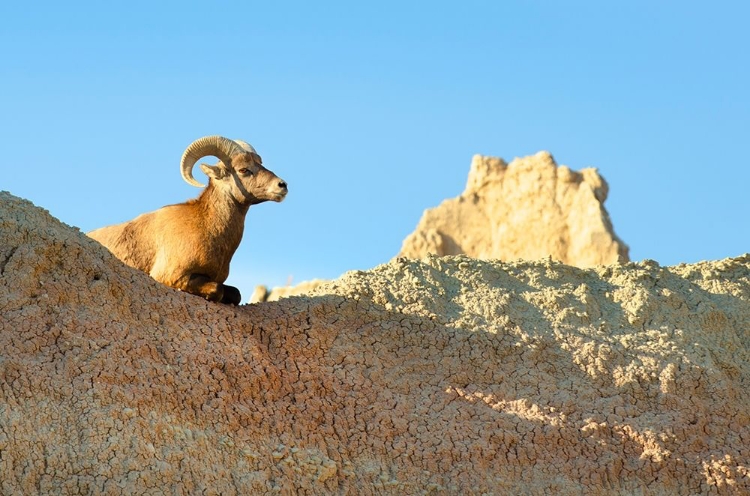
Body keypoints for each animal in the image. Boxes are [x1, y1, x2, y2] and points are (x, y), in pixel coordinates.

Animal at [88, 137, 288, 306]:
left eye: (260, 164)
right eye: (244, 170)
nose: (282, 186)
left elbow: (235, 294)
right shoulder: (173, 276)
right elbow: (216, 290)